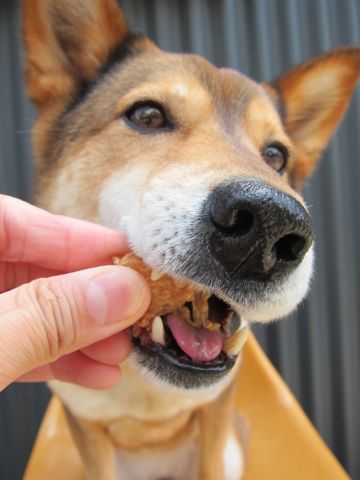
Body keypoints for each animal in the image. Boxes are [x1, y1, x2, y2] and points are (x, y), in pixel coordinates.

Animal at [21, 1, 360, 478]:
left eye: (276, 156)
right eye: (147, 115)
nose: (269, 223)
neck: (149, 397)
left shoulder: (216, 411)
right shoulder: (85, 422)